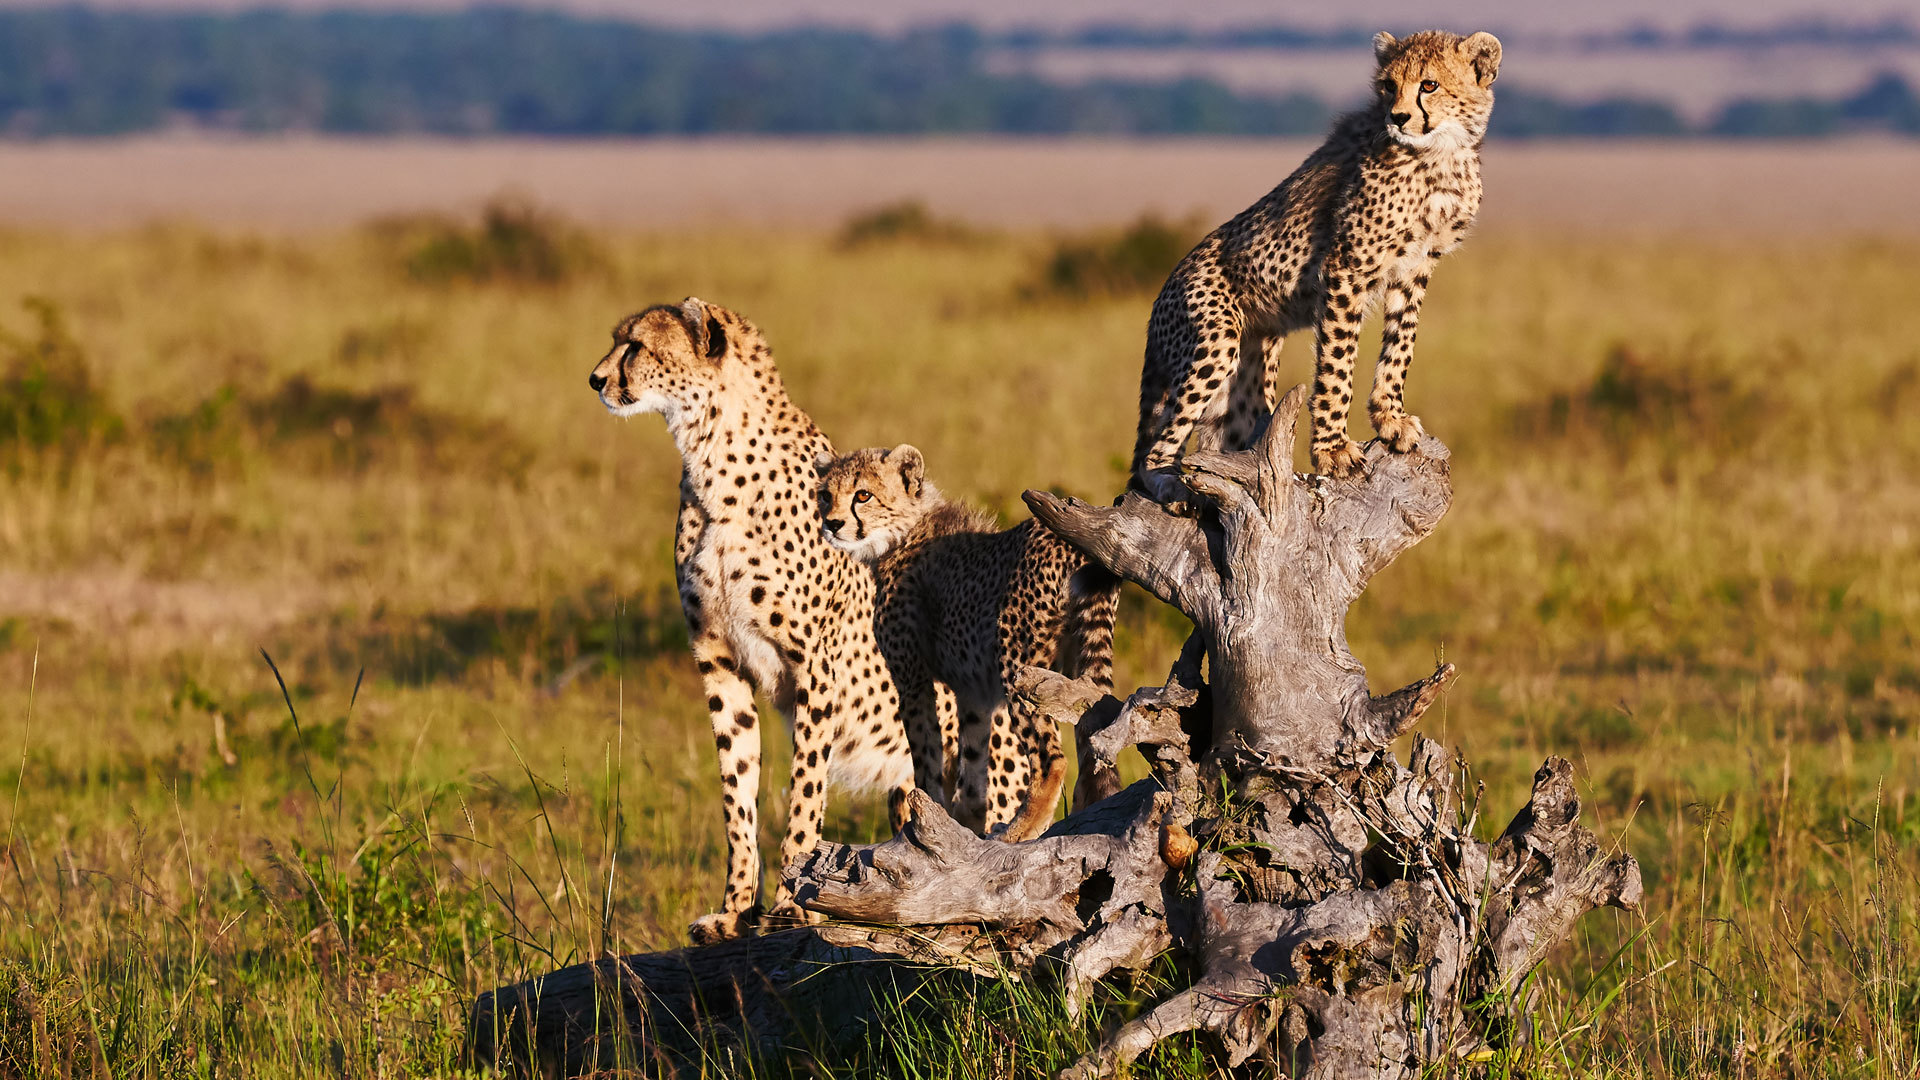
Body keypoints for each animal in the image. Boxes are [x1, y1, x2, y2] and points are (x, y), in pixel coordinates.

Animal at [583, 297, 929, 937]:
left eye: (636, 345)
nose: (595, 380)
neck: (712, 454)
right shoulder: (717, 658)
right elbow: (736, 790)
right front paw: (736, 909)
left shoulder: (816, 667)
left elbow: (804, 792)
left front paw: (794, 901)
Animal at [814, 441, 1121, 837]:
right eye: (826, 495)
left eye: (862, 495)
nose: (832, 524)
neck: (901, 533)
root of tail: (1068, 542)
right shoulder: (973, 690)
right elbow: (973, 767)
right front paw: (966, 824)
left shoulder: (913, 680)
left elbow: (925, 757)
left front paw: (927, 816)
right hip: (1076, 667)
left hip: (1019, 666)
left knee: (1051, 758)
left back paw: (1019, 830)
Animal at [1128, 29, 1505, 491]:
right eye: (1388, 86)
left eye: (1429, 85)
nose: (1397, 117)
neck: (1441, 155)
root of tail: (1161, 293)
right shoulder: (1347, 268)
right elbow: (1337, 364)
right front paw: (1333, 450)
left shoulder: (1415, 268)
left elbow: (1401, 345)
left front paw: (1390, 419)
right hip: (1216, 340)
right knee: (1158, 446)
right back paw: (1168, 484)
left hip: (1245, 379)